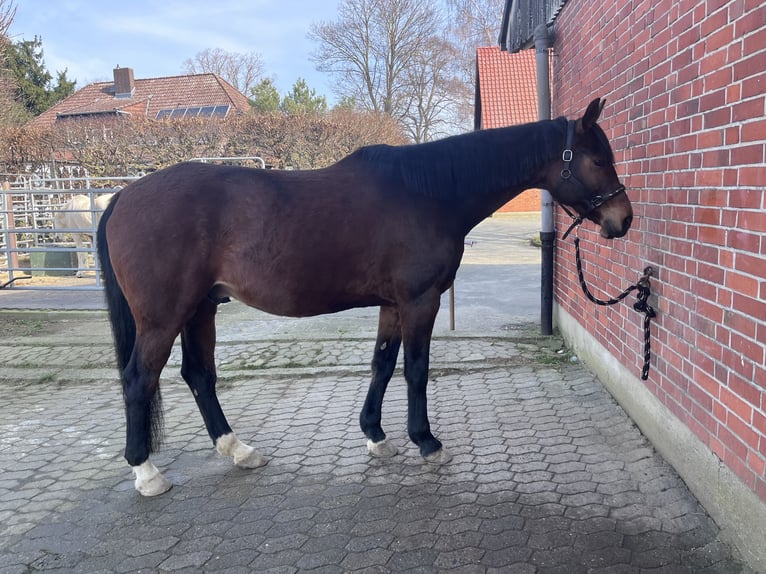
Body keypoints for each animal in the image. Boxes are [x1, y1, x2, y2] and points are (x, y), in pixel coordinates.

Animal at [97, 98, 633, 496]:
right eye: (598, 159)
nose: (623, 220)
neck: (430, 194)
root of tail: (123, 195)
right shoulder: (419, 301)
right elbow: (416, 369)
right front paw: (426, 441)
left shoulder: (393, 304)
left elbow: (382, 364)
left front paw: (376, 437)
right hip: (163, 317)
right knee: (138, 379)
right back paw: (146, 472)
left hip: (201, 308)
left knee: (198, 376)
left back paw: (239, 451)